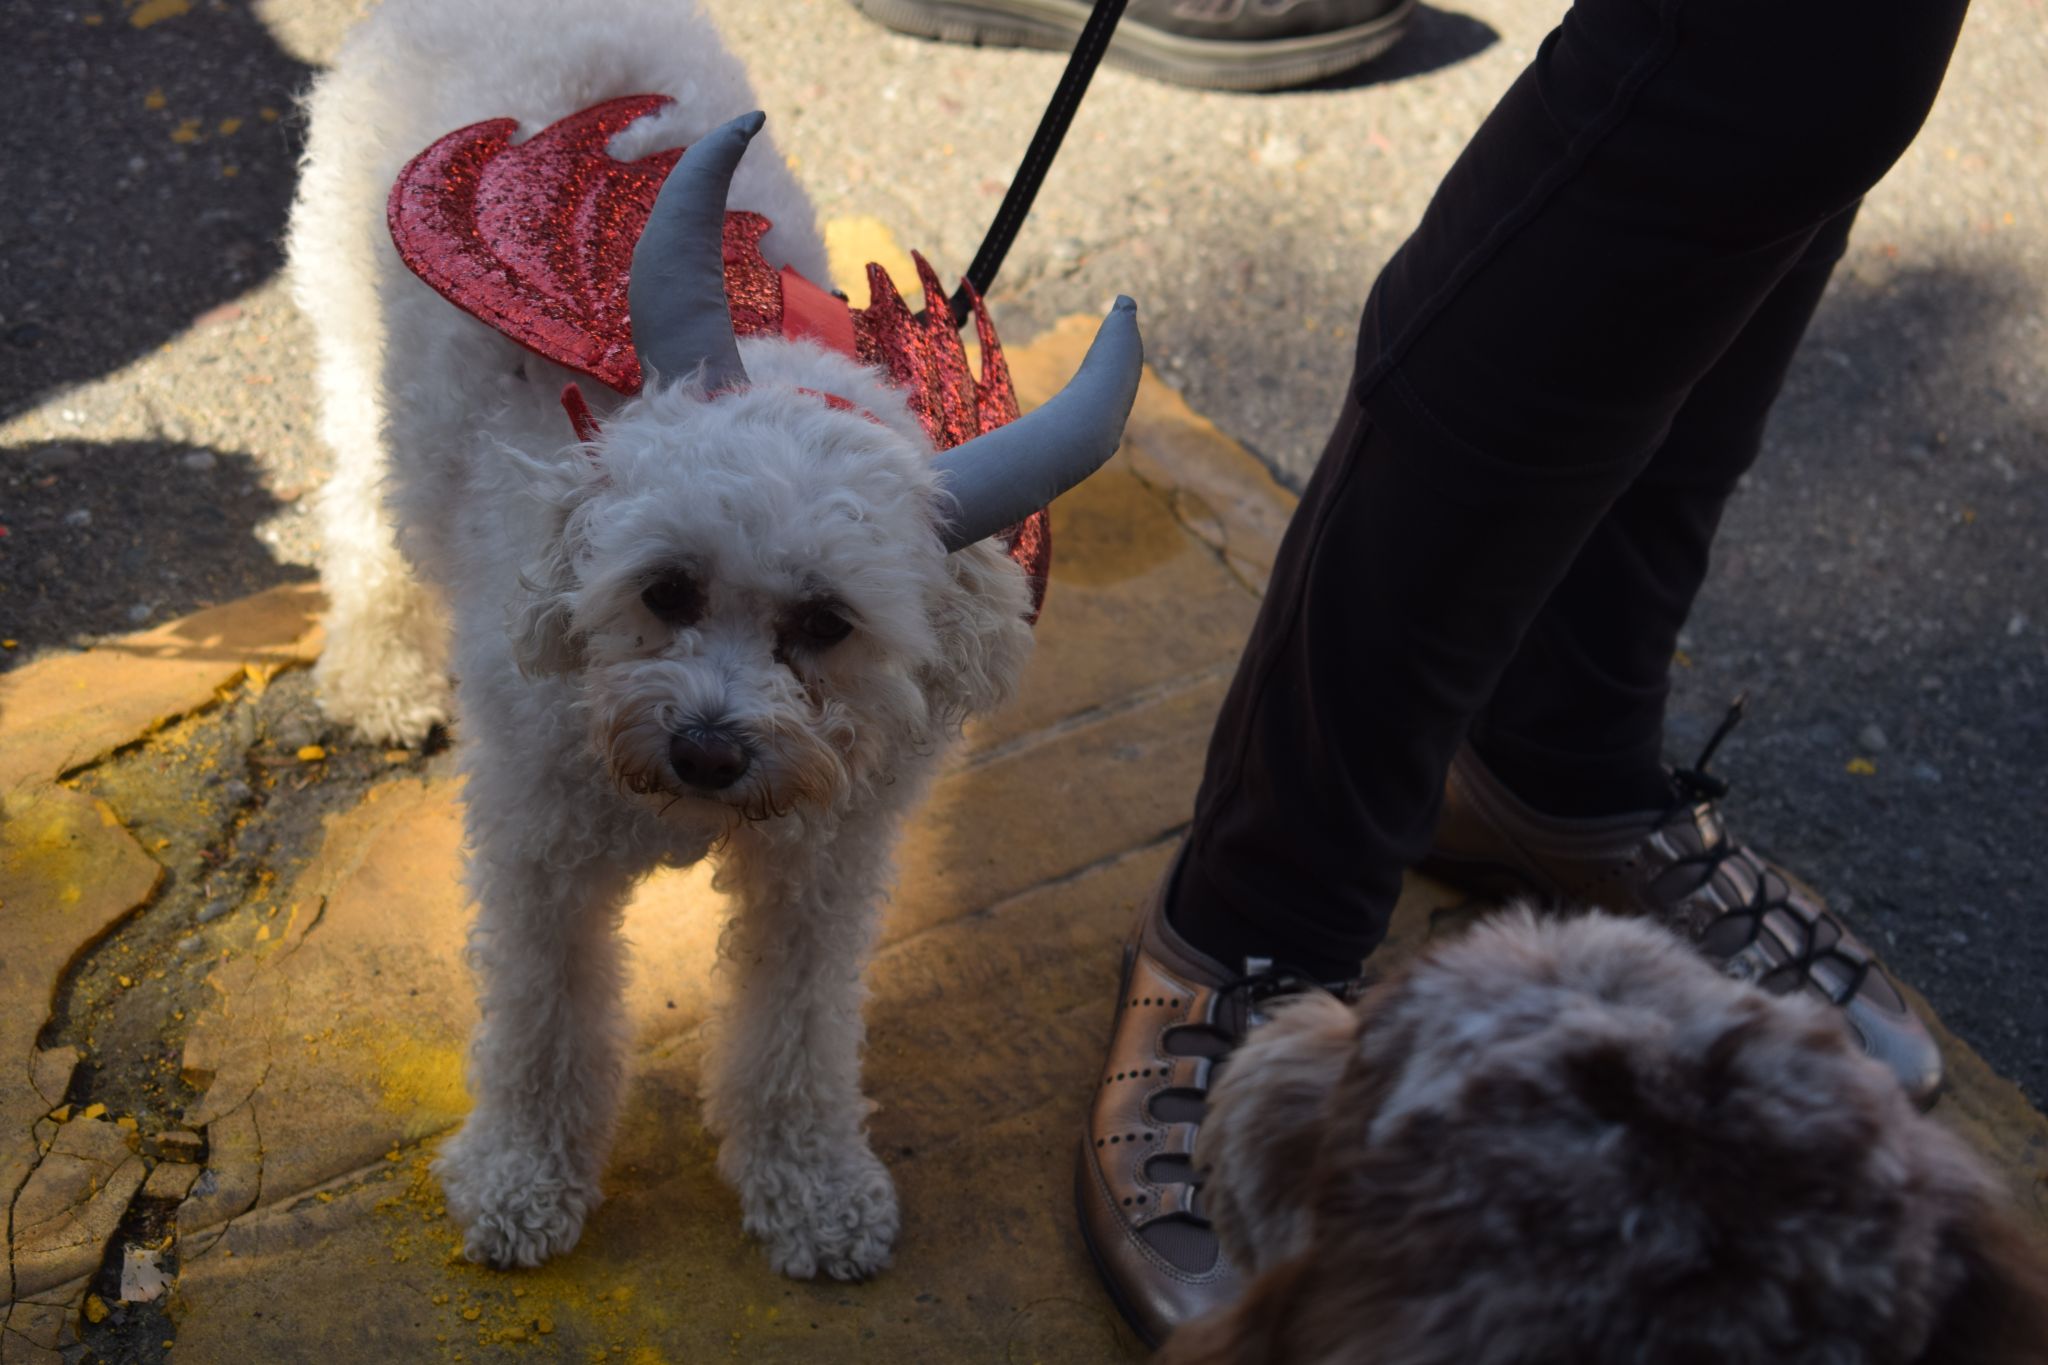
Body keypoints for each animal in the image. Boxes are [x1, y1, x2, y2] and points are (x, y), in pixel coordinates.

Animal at [292, 0, 1138, 1277]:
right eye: (667, 589)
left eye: (825, 624)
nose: (705, 752)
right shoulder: (540, 856)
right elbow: (543, 1025)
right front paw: (521, 1181)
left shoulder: (822, 872)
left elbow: (796, 1034)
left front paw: (812, 1189)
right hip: (352, 339)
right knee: (356, 507)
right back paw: (378, 672)